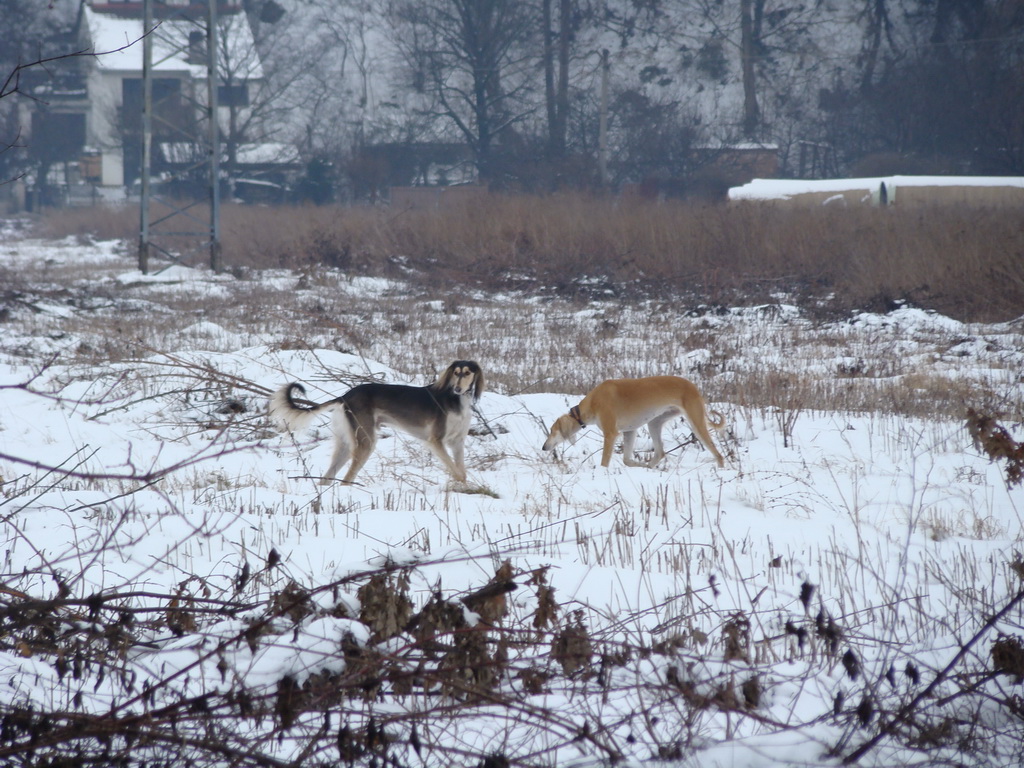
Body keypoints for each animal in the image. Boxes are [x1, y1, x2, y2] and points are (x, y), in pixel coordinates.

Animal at [544, 376, 729, 468]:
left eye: (552, 431)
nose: (544, 447)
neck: (593, 402)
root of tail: (694, 387)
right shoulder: (629, 431)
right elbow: (627, 460)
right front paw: (637, 464)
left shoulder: (610, 434)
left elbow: (604, 461)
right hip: (654, 423)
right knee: (660, 452)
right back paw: (649, 467)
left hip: (696, 423)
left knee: (718, 454)